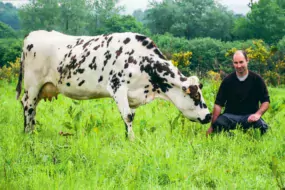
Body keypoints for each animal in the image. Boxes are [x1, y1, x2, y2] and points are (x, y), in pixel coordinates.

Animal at [15, 30, 211, 140]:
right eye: (195, 95)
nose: (209, 116)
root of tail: (31, 35)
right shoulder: (118, 87)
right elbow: (127, 117)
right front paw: (132, 140)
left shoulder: (134, 96)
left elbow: (130, 117)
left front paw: (127, 138)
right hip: (32, 86)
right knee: (28, 106)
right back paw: (27, 134)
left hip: (41, 88)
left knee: (33, 110)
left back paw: (32, 131)